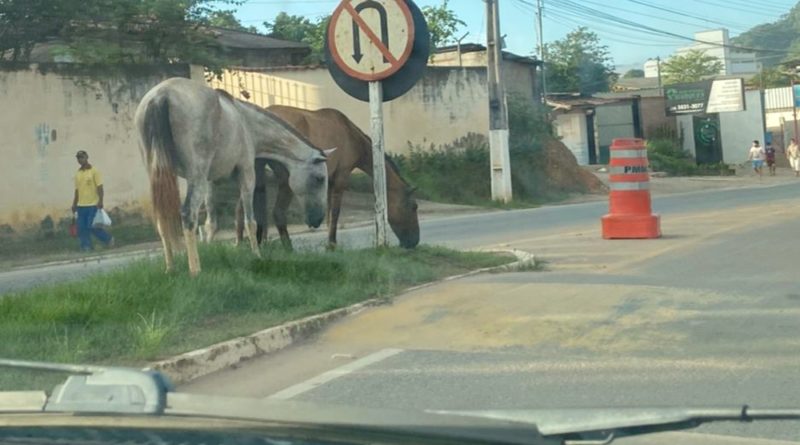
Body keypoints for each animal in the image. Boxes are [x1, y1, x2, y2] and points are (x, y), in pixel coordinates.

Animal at [134, 79, 332, 274]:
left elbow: (211, 223)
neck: (247, 122)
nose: (318, 220)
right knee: (188, 214)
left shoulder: (209, 181)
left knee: (162, 219)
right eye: (320, 179)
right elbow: (250, 220)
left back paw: (170, 268)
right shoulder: (247, 173)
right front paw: (257, 256)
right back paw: (195, 271)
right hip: (196, 176)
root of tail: (161, 95)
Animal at [236, 105, 418, 248]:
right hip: (286, 182)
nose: (413, 242)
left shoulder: (328, 182)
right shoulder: (340, 179)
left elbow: (330, 215)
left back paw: (241, 244)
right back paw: (288, 249)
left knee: (242, 209)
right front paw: (331, 244)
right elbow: (335, 213)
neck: (351, 136)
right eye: (413, 207)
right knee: (278, 213)